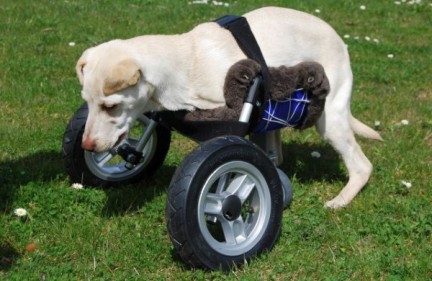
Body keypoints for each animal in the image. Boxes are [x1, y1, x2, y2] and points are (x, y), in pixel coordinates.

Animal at [77, 6, 382, 208]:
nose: (87, 146)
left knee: (362, 166)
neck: (183, 63)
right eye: (88, 102)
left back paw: (340, 200)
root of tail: (340, 41)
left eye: (111, 106)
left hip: (330, 120)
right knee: (276, 153)